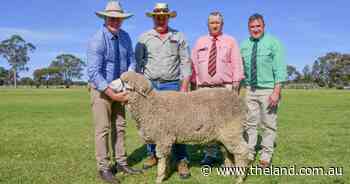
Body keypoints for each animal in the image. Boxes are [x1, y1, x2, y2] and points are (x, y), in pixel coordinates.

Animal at [113, 71, 247, 183]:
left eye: (124, 83)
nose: (110, 85)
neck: (150, 104)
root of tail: (238, 100)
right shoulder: (166, 139)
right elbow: (166, 158)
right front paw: (166, 174)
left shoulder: (163, 138)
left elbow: (161, 159)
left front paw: (159, 178)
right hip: (224, 135)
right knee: (229, 153)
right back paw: (228, 173)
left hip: (231, 131)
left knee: (242, 151)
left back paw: (240, 178)